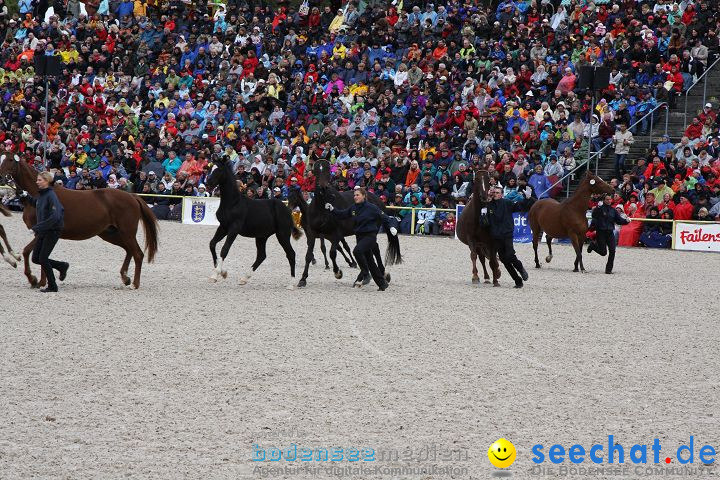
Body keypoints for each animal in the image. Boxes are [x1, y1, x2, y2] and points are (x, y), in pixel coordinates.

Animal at [0, 154, 158, 288]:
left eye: (10, 160)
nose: (2, 177)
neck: (40, 195)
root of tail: (132, 196)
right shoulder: (42, 233)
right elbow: (40, 257)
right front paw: (42, 282)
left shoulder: (42, 232)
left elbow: (28, 252)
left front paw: (33, 279)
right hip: (110, 233)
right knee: (129, 250)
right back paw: (125, 278)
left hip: (126, 233)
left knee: (138, 254)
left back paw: (134, 284)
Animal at [296, 160, 402, 288]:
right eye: (316, 169)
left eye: (328, 169)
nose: (322, 188)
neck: (322, 208)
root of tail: (379, 202)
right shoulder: (312, 234)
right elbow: (308, 255)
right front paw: (303, 279)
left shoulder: (336, 234)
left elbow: (332, 253)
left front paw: (338, 272)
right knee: (371, 249)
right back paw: (374, 275)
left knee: (372, 249)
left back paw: (367, 277)